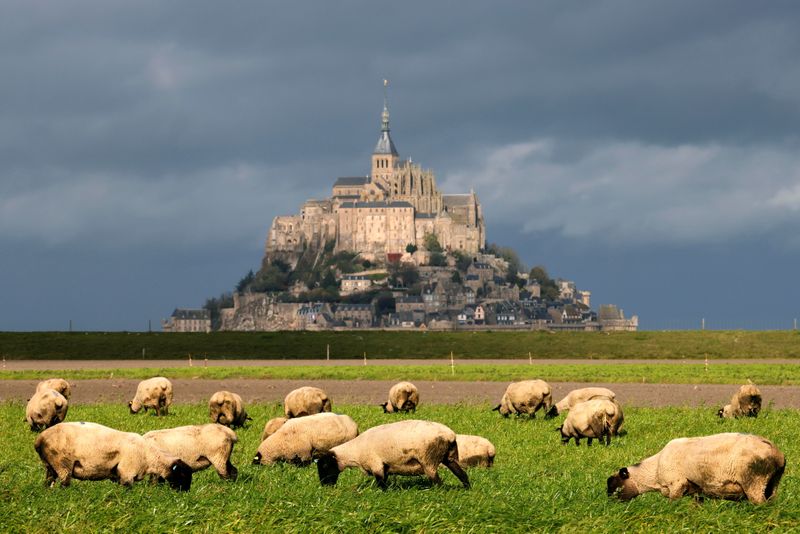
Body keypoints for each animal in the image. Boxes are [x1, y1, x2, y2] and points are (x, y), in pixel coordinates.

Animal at [33, 422, 193, 494]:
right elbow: (128, 489)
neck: (150, 457)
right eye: (182, 474)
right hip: (62, 463)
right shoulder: (127, 472)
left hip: (50, 465)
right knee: (64, 483)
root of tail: (40, 439)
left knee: (48, 481)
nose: (186, 493)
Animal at [318, 420, 468, 492]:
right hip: (448, 457)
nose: (324, 486)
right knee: (462, 474)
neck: (354, 451)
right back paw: (467, 488)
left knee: (438, 482)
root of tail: (450, 435)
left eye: (325, 465)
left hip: (428, 460)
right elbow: (384, 480)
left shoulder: (376, 464)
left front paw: (382, 494)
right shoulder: (384, 467)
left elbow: (381, 483)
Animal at [608, 434, 784, 504]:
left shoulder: (677, 484)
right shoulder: (696, 491)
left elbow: (673, 504)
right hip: (772, 484)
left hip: (754, 482)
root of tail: (778, 454)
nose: (610, 502)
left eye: (613, 484)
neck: (653, 471)